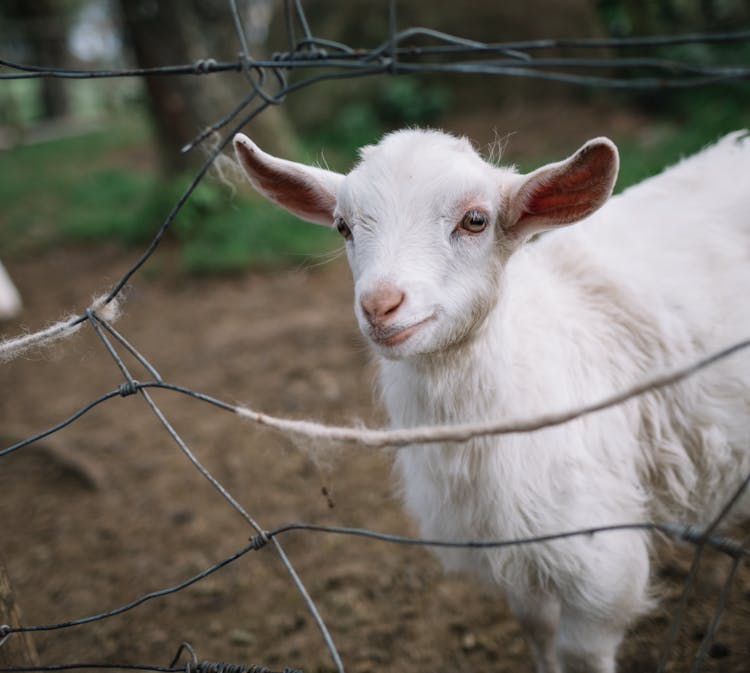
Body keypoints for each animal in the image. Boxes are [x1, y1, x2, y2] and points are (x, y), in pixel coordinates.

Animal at [235, 127, 750, 672]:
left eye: (475, 220)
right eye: (342, 226)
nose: (380, 305)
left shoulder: (601, 565)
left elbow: (581, 651)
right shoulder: (512, 549)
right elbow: (537, 630)